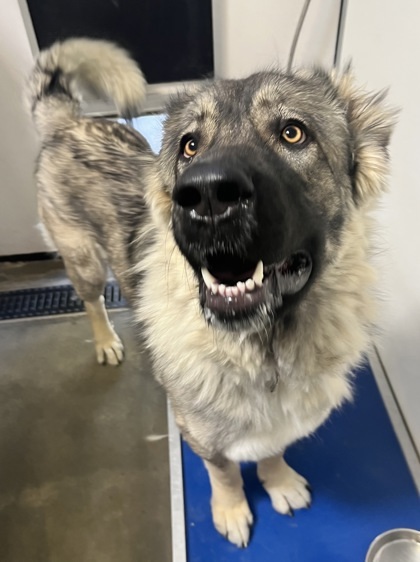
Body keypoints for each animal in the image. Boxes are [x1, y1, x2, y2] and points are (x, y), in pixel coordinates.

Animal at [27, 38, 398, 544]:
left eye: (293, 134)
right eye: (190, 145)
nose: (205, 196)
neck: (266, 349)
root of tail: (68, 122)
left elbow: (271, 450)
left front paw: (277, 481)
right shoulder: (201, 434)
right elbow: (224, 471)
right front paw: (232, 509)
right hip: (83, 261)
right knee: (92, 300)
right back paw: (105, 341)